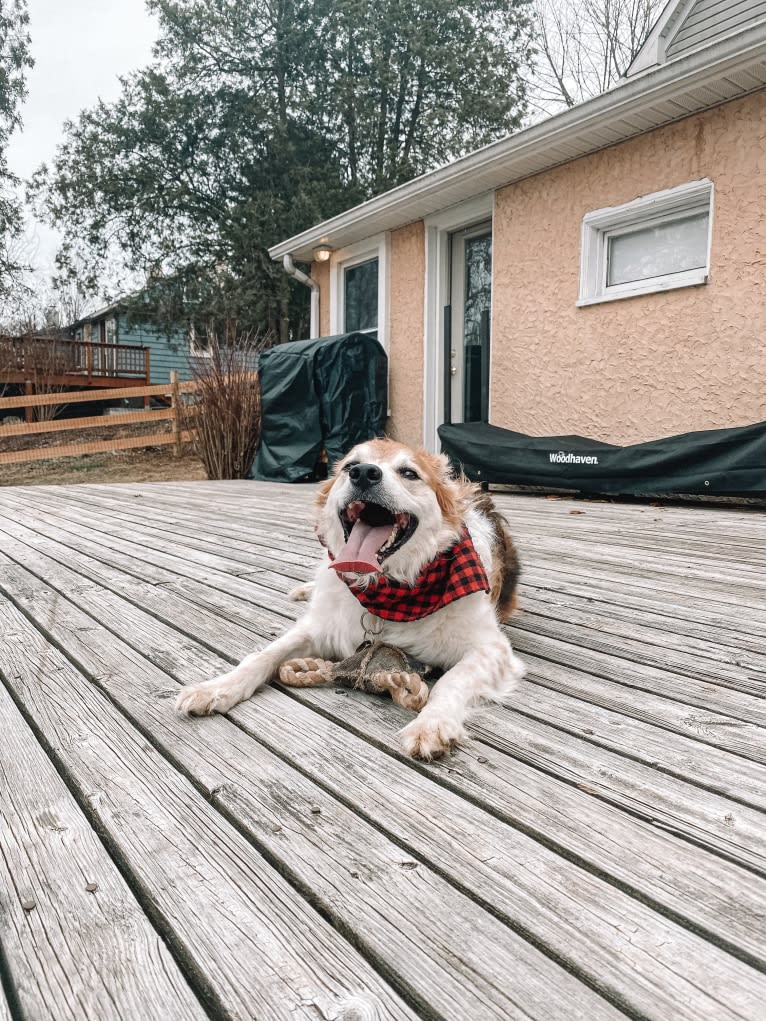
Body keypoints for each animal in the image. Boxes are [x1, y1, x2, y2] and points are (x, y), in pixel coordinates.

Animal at [176, 439, 527, 759]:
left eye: (409, 473)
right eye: (349, 466)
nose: (364, 474)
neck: (387, 593)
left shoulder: (491, 649)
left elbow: (452, 680)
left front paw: (432, 724)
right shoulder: (317, 628)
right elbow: (263, 656)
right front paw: (216, 687)